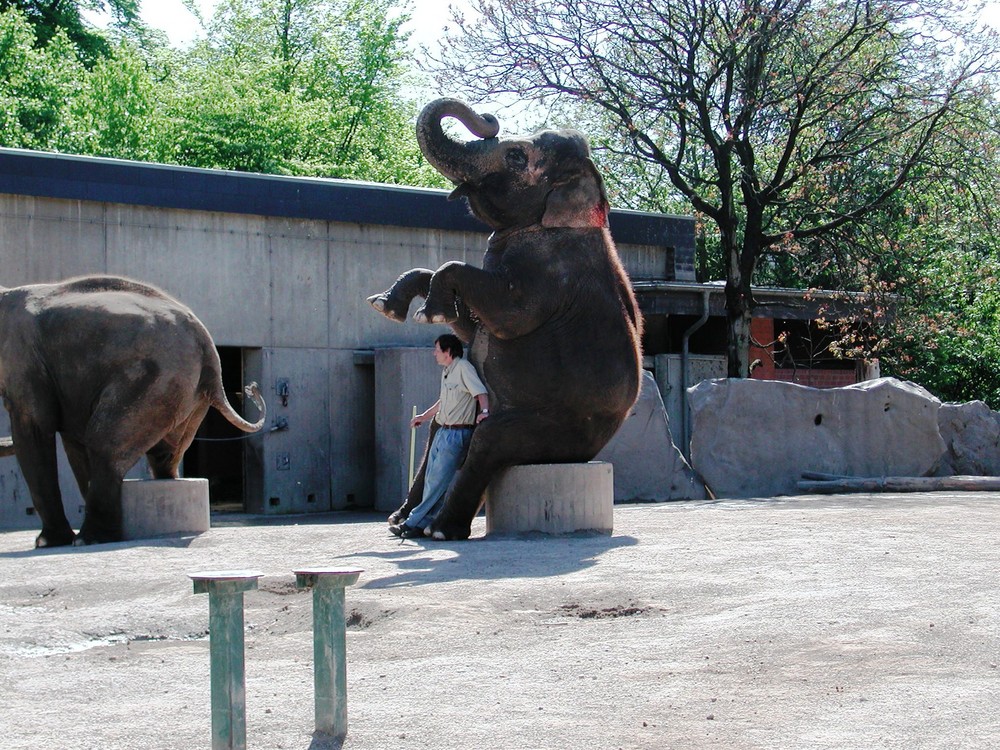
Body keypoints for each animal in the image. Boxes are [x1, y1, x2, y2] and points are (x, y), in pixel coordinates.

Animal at [0, 276, 266, 548]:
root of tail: (210, 349)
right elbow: (72, 440)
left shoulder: (22, 359)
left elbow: (34, 428)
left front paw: (47, 542)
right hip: (186, 392)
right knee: (163, 450)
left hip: (155, 377)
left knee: (102, 443)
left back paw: (88, 539)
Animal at [368, 97, 640, 540]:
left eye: (515, 155)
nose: (488, 117)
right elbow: (468, 324)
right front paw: (389, 307)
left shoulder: (548, 278)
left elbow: (506, 315)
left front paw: (428, 312)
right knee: (438, 429)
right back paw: (399, 522)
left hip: (556, 430)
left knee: (489, 441)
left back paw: (438, 530)